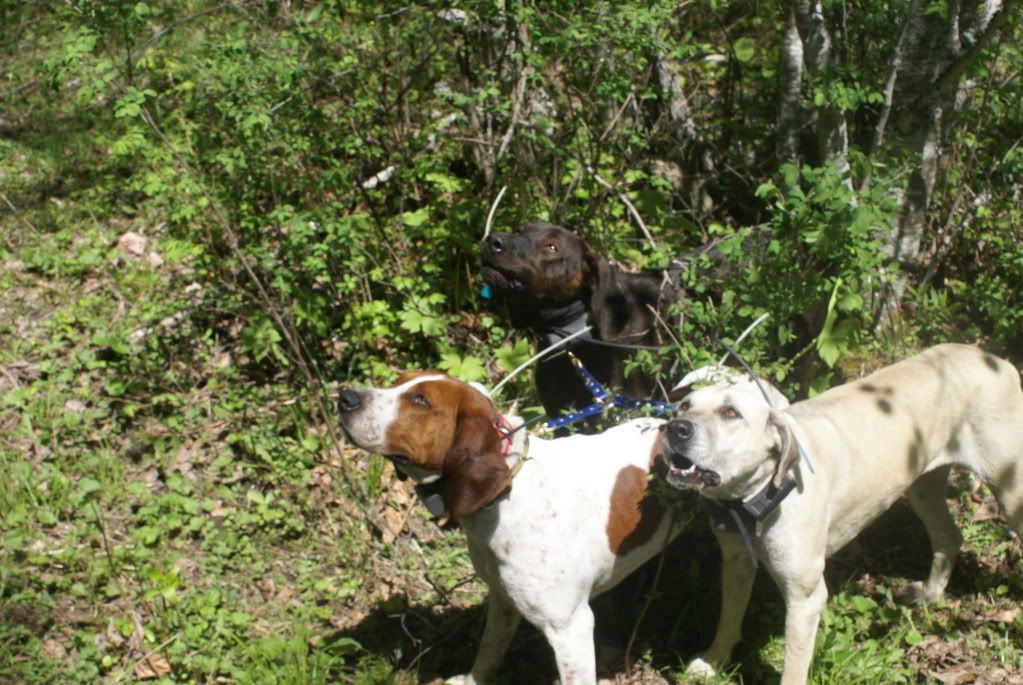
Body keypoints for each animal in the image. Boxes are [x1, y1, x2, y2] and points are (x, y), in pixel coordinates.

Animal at [338, 370, 682, 684]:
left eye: (420, 400)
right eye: (398, 380)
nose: (344, 397)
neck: (508, 494)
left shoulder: (572, 628)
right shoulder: (502, 598)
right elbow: (489, 650)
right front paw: (474, 681)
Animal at [658, 344, 1023, 685]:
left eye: (730, 412)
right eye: (684, 406)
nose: (675, 428)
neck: (755, 497)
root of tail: (996, 360)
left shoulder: (805, 598)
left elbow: (792, 668)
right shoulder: (736, 563)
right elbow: (728, 617)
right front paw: (714, 661)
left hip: (1010, 490)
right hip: (922, 485)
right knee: (949, 535)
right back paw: (929, 596)